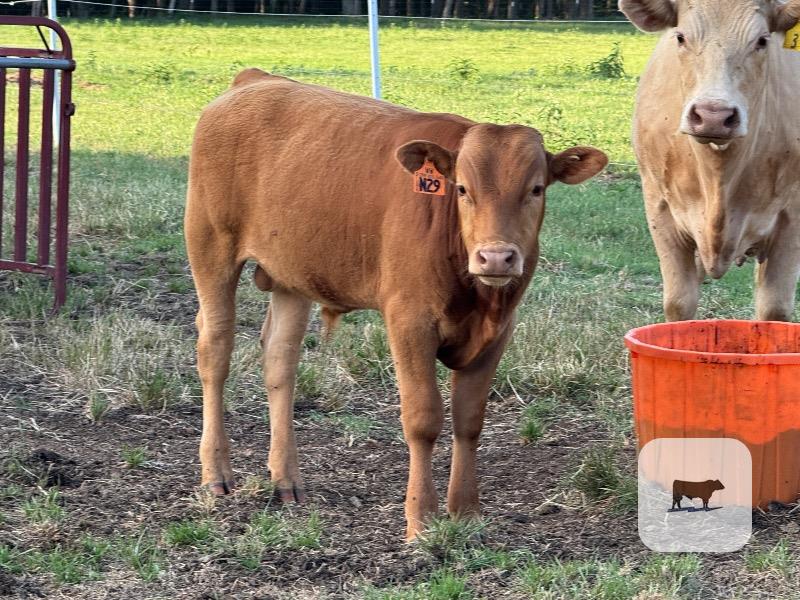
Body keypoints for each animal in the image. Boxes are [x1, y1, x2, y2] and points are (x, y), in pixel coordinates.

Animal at [185, 68, 607, 539]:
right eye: (463, 189)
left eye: (536, 189)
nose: (496, 257)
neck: (477, 295)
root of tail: (255, 79)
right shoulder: (409, 322)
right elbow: (423, 419)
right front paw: (420, 518)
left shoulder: (499, 331)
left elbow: (469, 419)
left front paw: (465, 511)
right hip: (210, 246)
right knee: (215, 350)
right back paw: (216, 472)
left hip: (292, 273)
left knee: (280, 360)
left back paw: (286, 479)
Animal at [619, 0, 800, 322]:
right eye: (680, 37)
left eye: (762, 40)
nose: (713, 115)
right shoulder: (658, 207)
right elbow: (679, 302)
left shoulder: (792, 219)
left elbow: (774, 309)